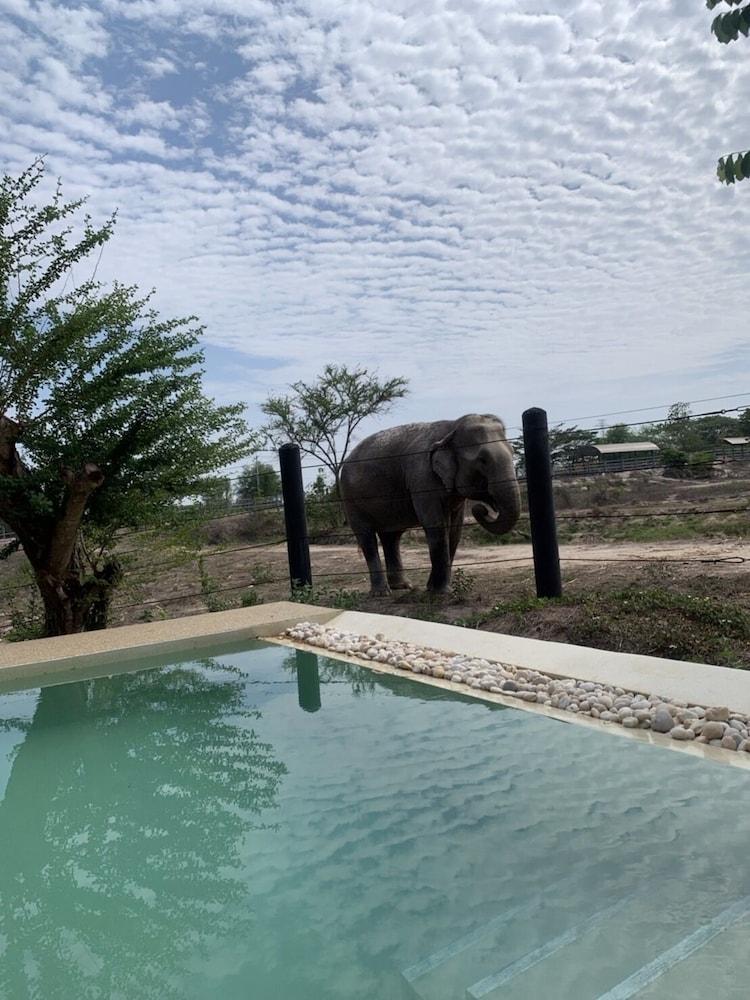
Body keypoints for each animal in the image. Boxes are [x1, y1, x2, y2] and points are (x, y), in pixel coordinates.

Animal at [339, 413, 521, 595]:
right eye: (483, 460)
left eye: (513, 452)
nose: (482, 509)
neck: (452, 426)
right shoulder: (422, 479)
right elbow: (436, 526)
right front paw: (441, 592)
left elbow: (455, 531)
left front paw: (432, 589)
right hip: (350, 498)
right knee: (367, 537)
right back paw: (382, 593)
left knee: (391, 537)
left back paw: (403, 586)